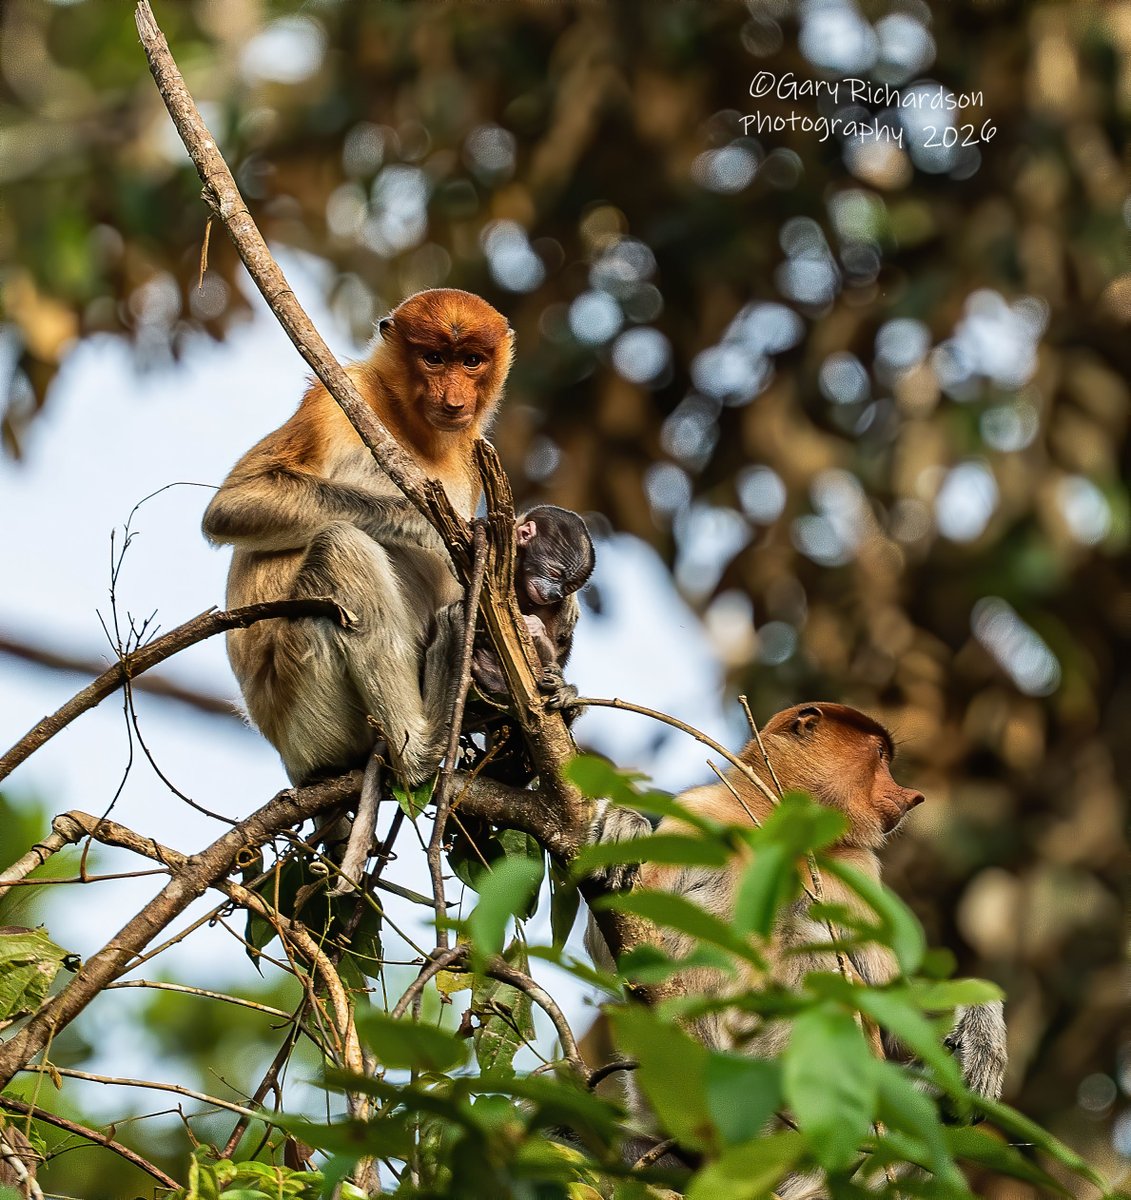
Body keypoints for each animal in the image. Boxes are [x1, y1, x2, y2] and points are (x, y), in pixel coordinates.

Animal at [202, 288, 514, 887]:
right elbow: (233, 504)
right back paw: (421, 747)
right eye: (433, 359)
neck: (407, 423)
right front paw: (421, 523)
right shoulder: (333, 401)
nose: (454, 399)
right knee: (341, 546)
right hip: (304, 707)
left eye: (471, 361)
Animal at [584, 703, 1007, 1184]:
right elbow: (616, 943)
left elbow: (890, 1009)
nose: (912, 795)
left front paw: (982, 1039)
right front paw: (623, 824)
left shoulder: (858, 868)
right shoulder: (700, 810)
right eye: (880, 754)